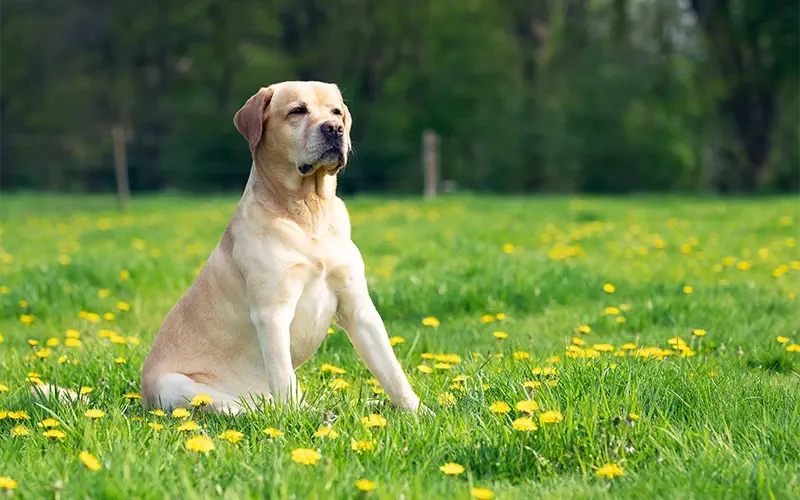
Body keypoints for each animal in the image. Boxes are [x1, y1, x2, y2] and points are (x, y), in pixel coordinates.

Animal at [141, 79, 422, 414]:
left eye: (336, 111)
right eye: (297, 111)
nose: (335, 129)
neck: (309, 213)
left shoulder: (358, 307)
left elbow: (392, 371)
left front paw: (419, 412)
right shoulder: (272, 313)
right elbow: (284, 381)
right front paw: (295, 420)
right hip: (175, 385)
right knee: (246, 408)